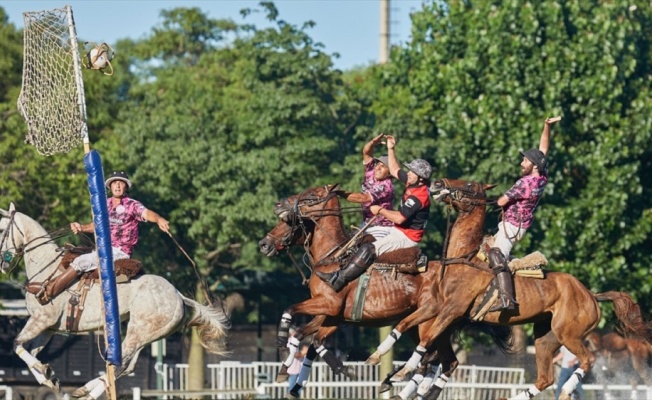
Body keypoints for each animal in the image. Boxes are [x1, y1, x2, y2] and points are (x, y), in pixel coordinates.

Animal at [0, 205, 230, 398]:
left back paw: (88, 393)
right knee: (127, 367)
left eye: (2, 229)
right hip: (147, 336)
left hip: (137, 331)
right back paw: (84, 389)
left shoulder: (41, 319)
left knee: (120, 365)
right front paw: (49, 378)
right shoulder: (49, 327)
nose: (3, 263)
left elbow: (17, 344)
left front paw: (46, 372)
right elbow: (30, 352)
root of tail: (179, 296)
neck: (46, 267)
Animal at [256, 183, 510, 398]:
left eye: (310, 196)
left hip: (429, 323)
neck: (333, 257)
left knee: (436, 357)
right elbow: (307, 337)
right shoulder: (333, 315)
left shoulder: (330, 305)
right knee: (442, 359)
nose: (263, 244)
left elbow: (295, 317)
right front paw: (290, 377)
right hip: (427, 327)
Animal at [366, 179, 652, 400]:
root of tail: (591, 295)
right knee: (545, 378)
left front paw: (402, 372)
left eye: (469, 184)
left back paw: (566, 390)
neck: (464, 258)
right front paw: (378, 358)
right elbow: (406, 325)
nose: (437, 183)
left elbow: (426, 340)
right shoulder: (437, 307)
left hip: (568, 333)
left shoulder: (452, 309)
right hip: (545, 337)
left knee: (587, 361)